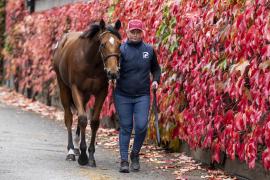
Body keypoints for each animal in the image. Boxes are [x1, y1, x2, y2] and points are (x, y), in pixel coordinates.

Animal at [52, 19, 121, 166]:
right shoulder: (76, 89)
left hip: (86, 95)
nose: (113, 72)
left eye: (119, 44)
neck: (90, 62)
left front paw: (90, 156)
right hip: (64, 87)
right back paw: (71, 151)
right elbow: (83, 119)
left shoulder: (101, 92)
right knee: (69, 117)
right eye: (102, 44)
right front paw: (83, 156)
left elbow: (93, 121)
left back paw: (77, 148)